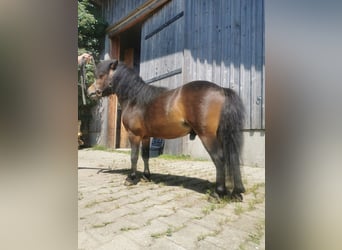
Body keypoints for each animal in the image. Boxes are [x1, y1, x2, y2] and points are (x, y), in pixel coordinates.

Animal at [87, 59, 244, 200]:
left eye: (101, 75)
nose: (90, 92)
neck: (135, 99)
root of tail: (221, 90)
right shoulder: (146, 136)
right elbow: (145, 156)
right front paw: (146, 176)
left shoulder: (134, 135)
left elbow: (133, 156)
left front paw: (130, 179)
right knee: (232, 157)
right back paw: (236, 192)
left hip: (207, 135)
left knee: (219, 158)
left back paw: (218, 193)